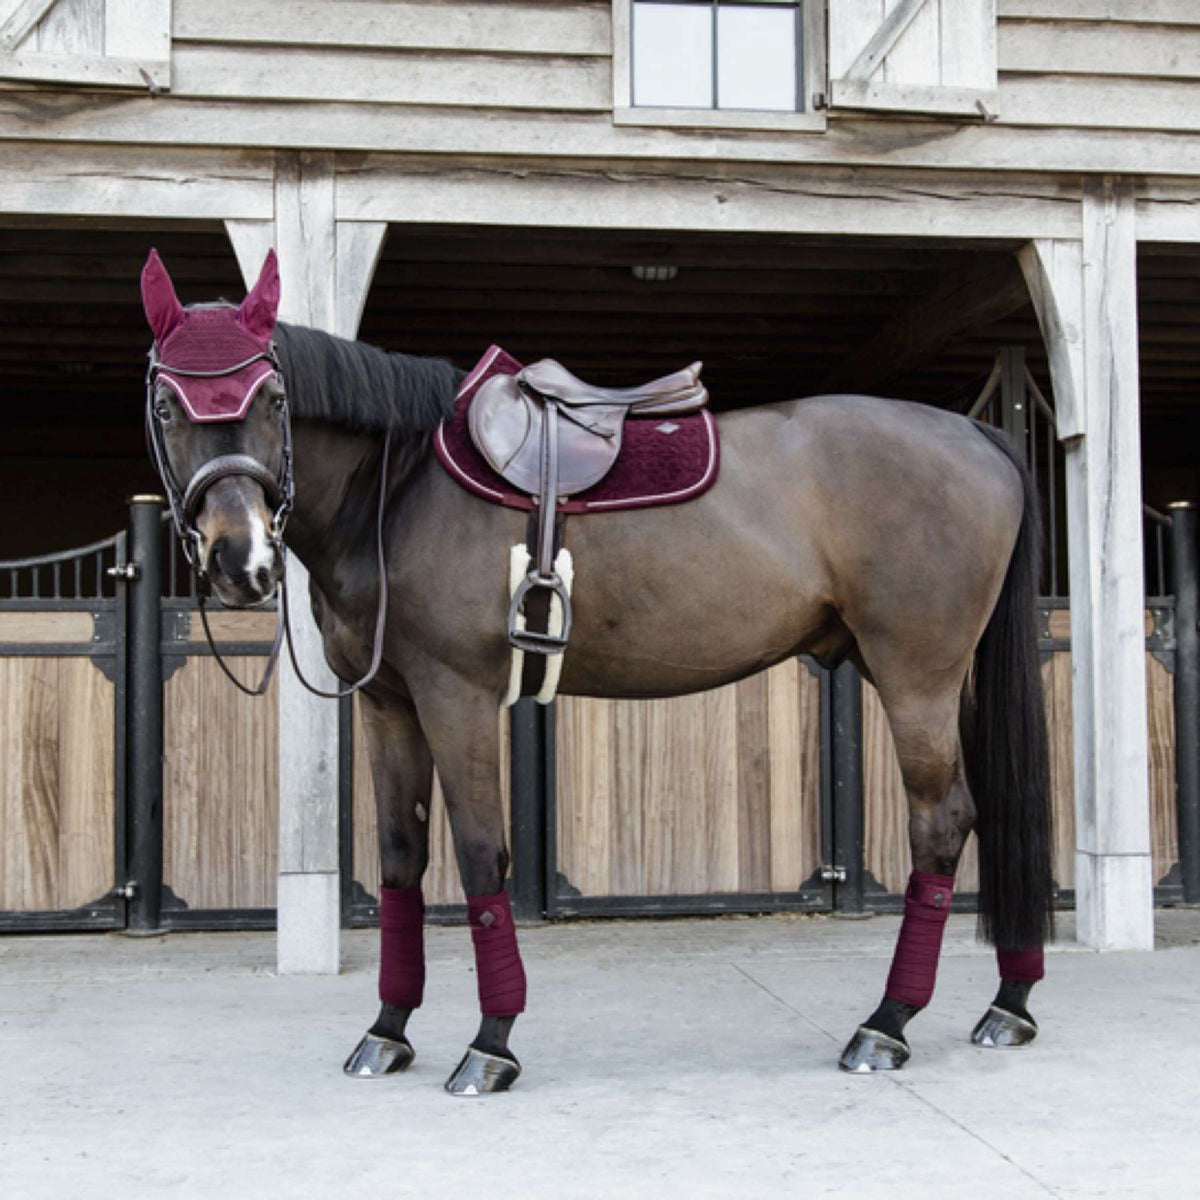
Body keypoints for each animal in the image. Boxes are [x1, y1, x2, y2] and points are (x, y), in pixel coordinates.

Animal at [138, 248, 1051, 1094]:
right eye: (165, 404)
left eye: (272, 398)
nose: (240, 562)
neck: (399, 488)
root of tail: (978, 434)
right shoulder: (391, 703)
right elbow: (401, 858)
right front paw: (388, 1029)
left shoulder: (457, 697)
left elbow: (479, 855)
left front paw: (491, 1044)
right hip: (937, 677)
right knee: (995, 810)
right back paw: (1008, 1005)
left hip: (916, 677)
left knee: (941, 823)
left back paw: (886, 1025)